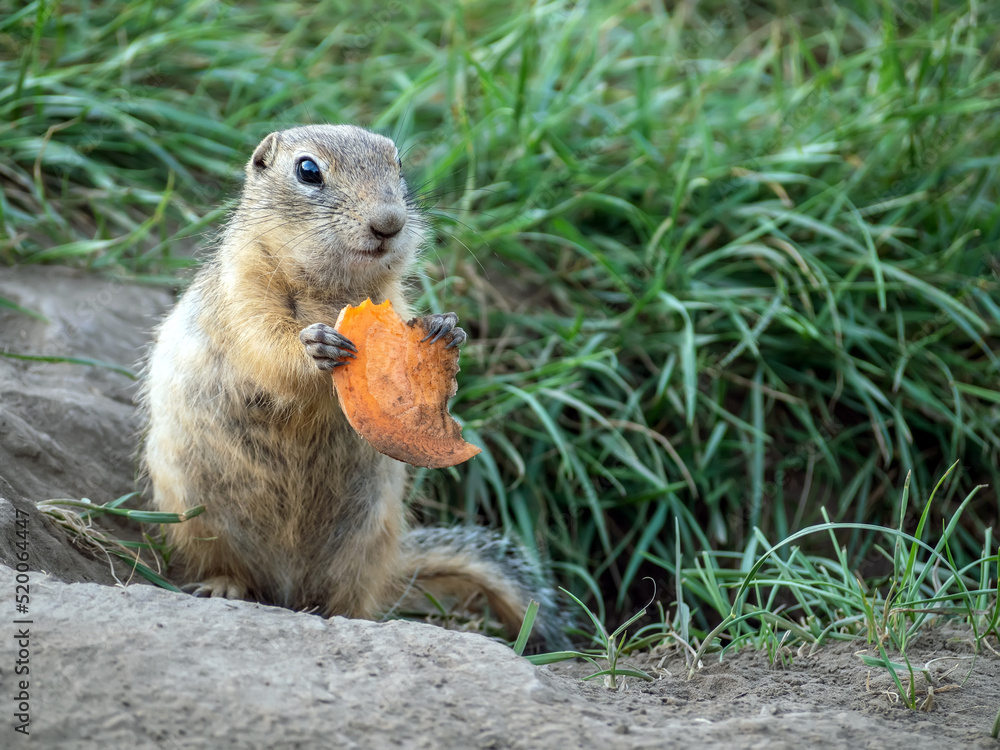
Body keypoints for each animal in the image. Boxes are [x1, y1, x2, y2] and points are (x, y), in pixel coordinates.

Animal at [141, 125, 568, 648]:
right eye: (308, 170)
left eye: (398, 164)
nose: (389, 223)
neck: (330, 289)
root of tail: (286, 585)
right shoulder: (244, 292)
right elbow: (264, 344)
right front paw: (315, 348)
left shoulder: (392, 297)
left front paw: (446, 329)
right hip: (196, 518)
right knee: (226, 566)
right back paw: (225, 586)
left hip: (368, 539)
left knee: (350, 599)